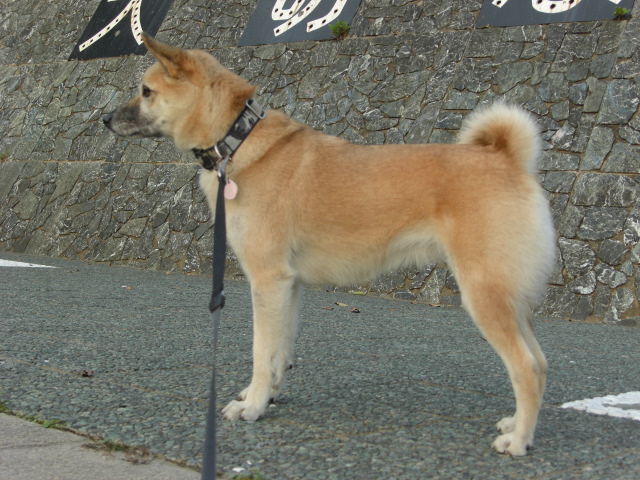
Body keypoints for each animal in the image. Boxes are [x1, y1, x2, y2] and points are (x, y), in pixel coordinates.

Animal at [104, 34, 555, 456]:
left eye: (146, 91)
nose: (105, 119)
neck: (238, 141)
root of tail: (507, 159)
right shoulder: (289, 287)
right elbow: (279, 353)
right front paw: (267, 397)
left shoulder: (266, 281)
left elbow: (260, 352)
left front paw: (252, 406)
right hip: (510, 300)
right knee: (540, 362)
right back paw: (516, 423)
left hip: (484, 296)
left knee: (525, 368)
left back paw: (519, 440)